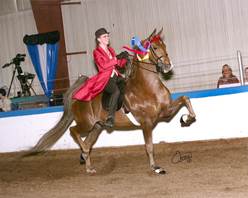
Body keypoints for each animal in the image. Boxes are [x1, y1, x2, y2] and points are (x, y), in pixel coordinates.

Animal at [27, 28, 197, 174]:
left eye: (164, 45)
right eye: (155, 47)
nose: (168, 66)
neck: (147, 87)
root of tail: (77, 98)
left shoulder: (165, 112)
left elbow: (185, 98)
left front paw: (186, 119)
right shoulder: (146, 123)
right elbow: (149, 147)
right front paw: (155, 168)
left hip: (97, 127)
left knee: (87, 142)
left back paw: (88, 165)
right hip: (86, 124)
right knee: (73, 131)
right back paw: (84, 153)